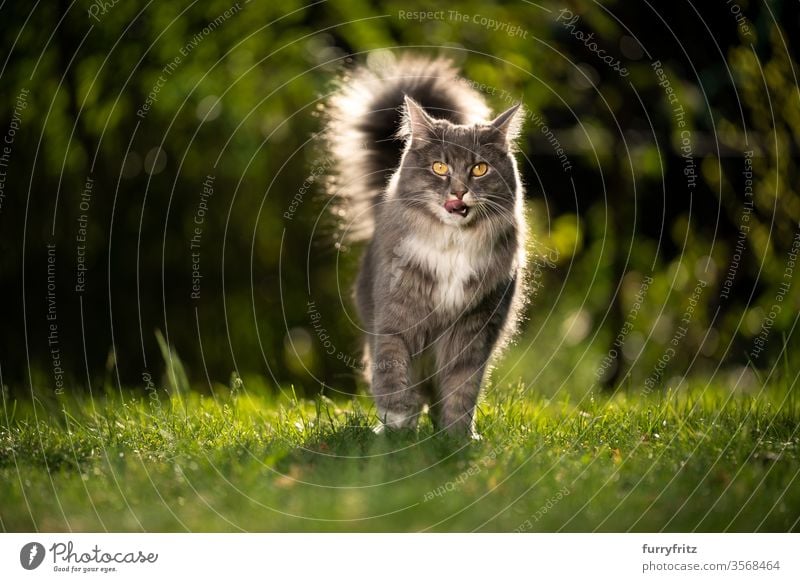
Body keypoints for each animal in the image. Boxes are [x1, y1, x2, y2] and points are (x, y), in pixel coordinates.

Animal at [322, 56, 528, 438]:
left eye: (480, 169)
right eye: (439, 166)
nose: (459, 191)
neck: (453, 244)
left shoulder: (474, 329)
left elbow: (462, 388)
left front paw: (458, 438)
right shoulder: (396, 319)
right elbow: (394, 376)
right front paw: (397, 429)